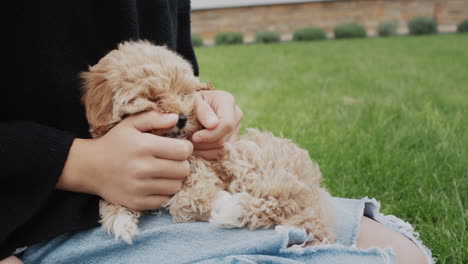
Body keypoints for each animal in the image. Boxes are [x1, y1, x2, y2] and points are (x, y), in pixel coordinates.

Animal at [82, 40, 334, 244]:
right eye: (152, 98)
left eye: (183, 93)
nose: (182, 118)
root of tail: (314, 194)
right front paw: (120, 220)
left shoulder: (201, 164)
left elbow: (187, 200)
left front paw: (216, 201)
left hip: (251, 159)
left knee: (275, 200)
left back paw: (232, 209)